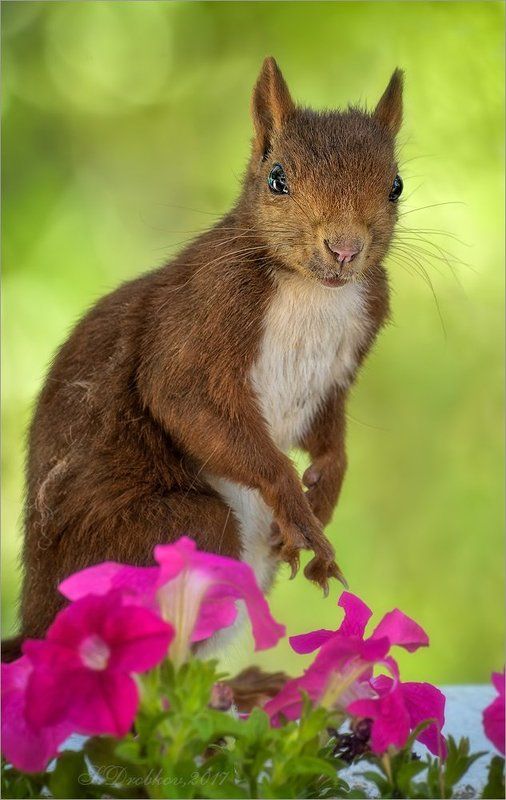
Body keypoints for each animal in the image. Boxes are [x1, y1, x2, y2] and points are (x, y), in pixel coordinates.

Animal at [3, 58, 404, 662]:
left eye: (396, 186)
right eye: (277, 178)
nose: (345, 248)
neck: (314, 290)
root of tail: (35, 624)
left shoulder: (347, 356)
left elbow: (330, 431)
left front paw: (326, 488)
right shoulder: (198, 315)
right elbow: (178, 396)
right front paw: (295, 501)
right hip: (161, 537)